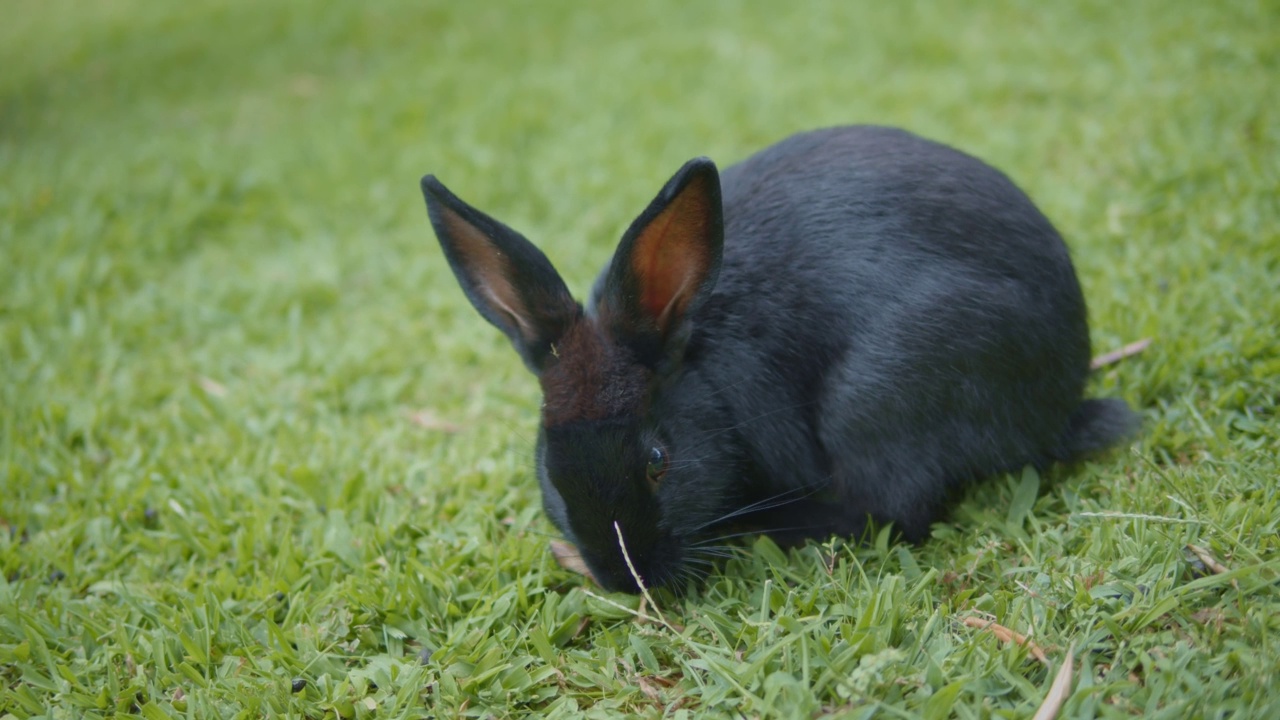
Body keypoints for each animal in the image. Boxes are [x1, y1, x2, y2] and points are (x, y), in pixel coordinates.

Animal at [422, 126, 1141, 591]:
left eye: (658, 461)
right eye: (548, 463)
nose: (624, 580)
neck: (700, 364)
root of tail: (1060, 400)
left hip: (877, 394)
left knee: (891, 508)